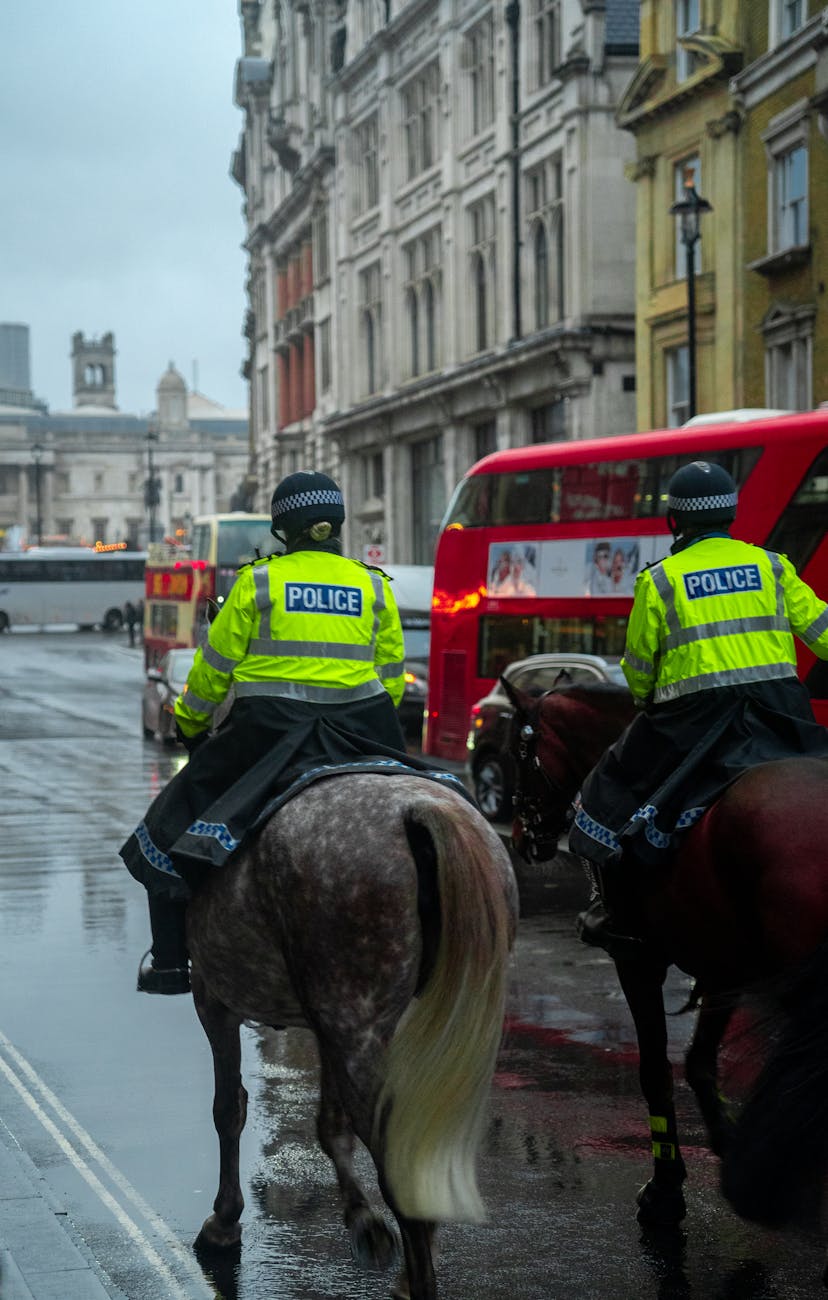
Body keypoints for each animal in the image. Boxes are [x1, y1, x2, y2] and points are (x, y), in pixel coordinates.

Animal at [185, 769, 517, 1300]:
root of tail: (419, 810)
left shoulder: (213, 996)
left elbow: (228, 1108)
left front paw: (224, 1220)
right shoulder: (326, 1025)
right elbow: (329, 1123)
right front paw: (363, 1220)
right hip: (367, 1024)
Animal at [501, 676, 826, 1242]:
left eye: (521, 754)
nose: (522, 837)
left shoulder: (638, 959)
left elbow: (655, 1071)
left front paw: (665, 1190)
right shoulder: (723, 964)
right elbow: (699, 1061)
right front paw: (724, 1143)